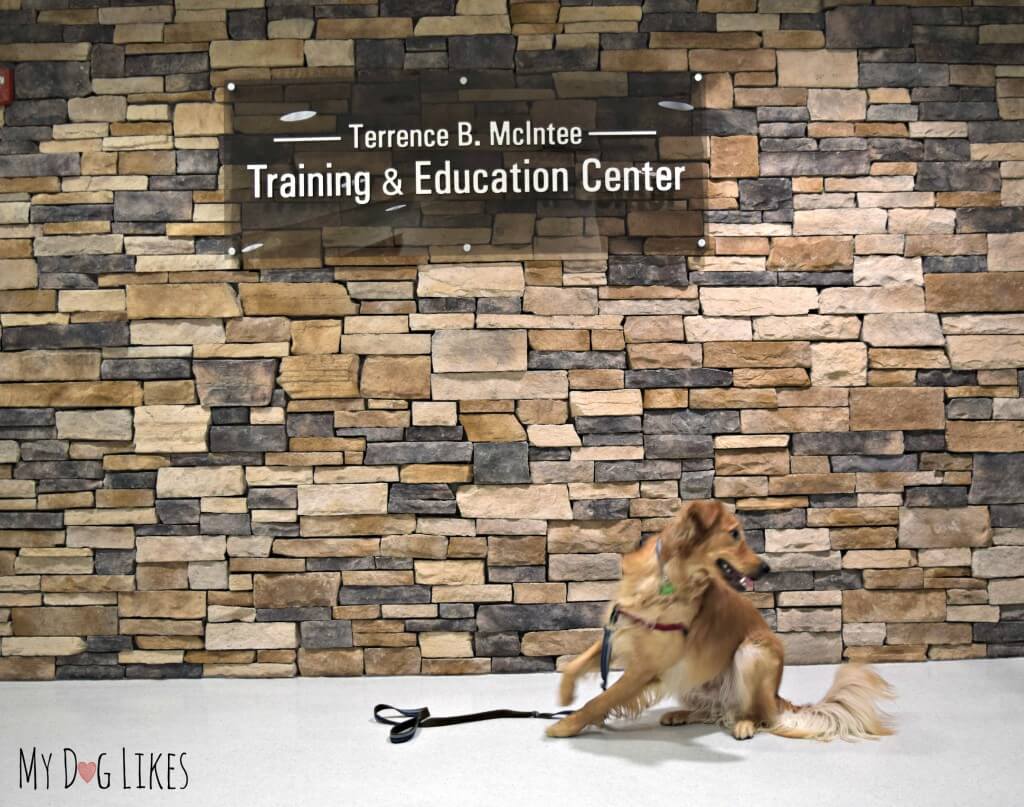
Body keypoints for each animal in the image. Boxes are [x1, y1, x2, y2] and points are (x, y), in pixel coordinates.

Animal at [548, 501, 892, 741]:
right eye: (734, 533)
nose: (766, 568)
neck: (668, 579)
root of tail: (776, 697)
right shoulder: (621, 627)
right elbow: (575, 664)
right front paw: (565, 695)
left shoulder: (647, 665)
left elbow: (602, 698)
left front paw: (567, 723)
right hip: (686, 677)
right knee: (715, 710)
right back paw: (682, 714)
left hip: (753, 652)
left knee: (755, 714)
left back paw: (744, 724)